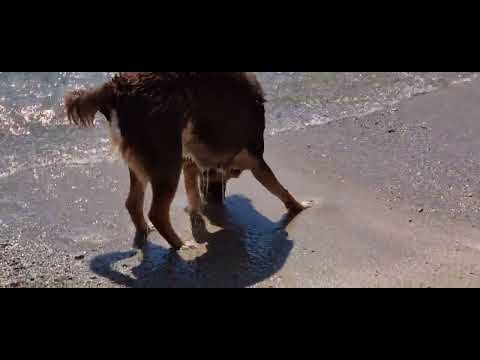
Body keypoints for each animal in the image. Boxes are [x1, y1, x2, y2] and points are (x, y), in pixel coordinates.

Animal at [64, 71, 312, 249]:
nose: (215, 203)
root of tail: (116, 87)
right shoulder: (254, 158)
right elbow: (279, 188)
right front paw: (300, 205)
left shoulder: (191, 157)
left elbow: (192, 187)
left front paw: (196, 212)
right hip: (166, 163)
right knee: (157, 212)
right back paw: (181, 244)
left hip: (142, 163)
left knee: (133, 203)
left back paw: (146, 231)